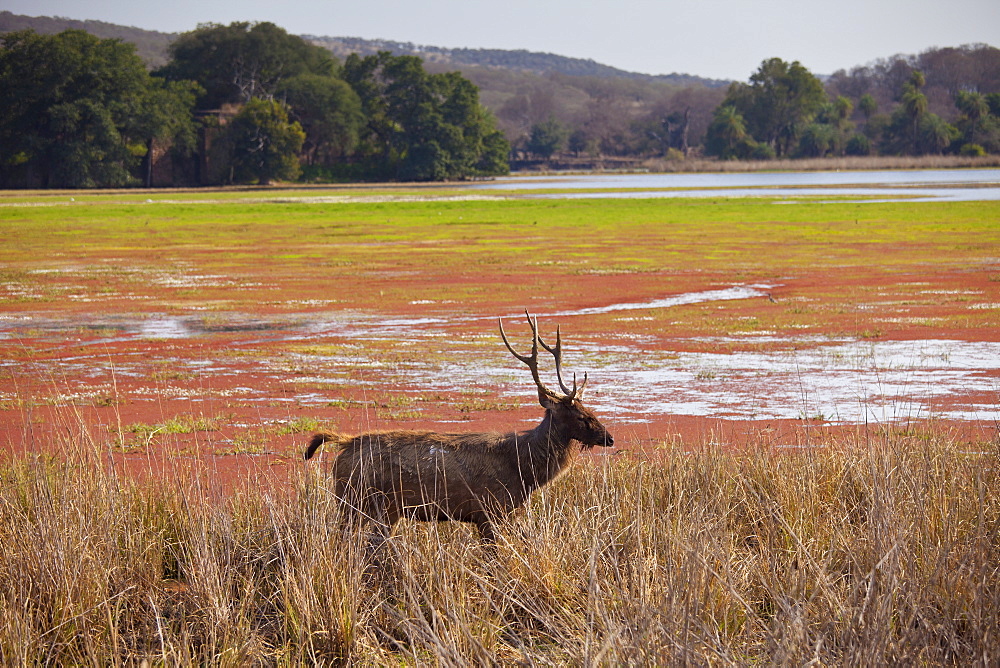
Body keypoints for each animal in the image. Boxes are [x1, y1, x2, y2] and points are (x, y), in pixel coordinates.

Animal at [304, 314, 612, 544]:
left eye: (590, 410)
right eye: (581, 416)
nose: (609, 437)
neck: (522, 469)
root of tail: (344, 443)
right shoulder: (488, 510)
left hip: (377, 508)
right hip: (356, 502)